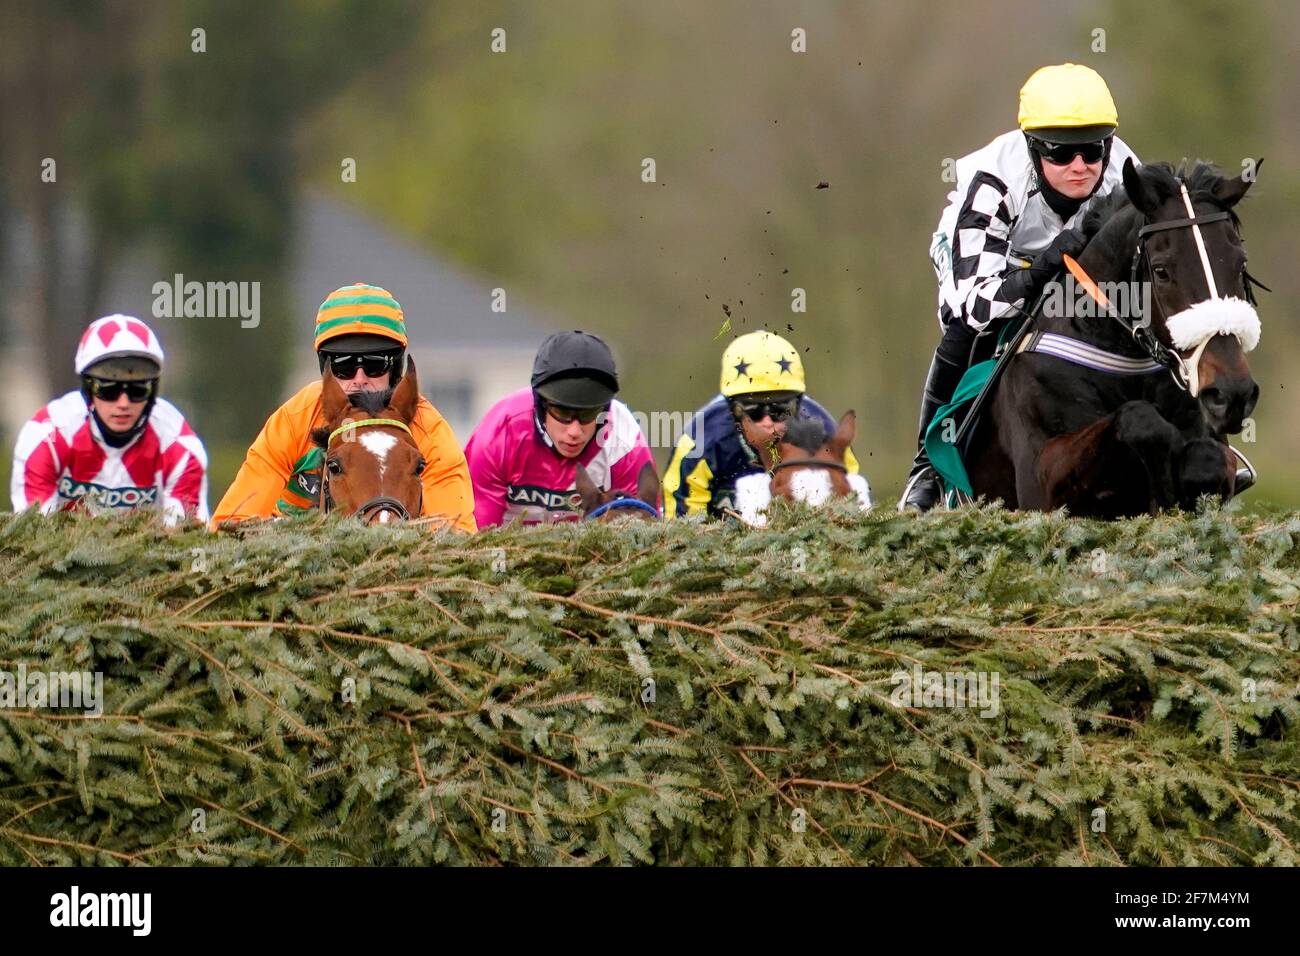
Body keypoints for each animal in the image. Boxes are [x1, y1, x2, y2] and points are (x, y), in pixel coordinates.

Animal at [967, 158, 1258, 515]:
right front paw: (1164, 479)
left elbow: (1207, 460)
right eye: (1161, 271)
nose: (1231, 394)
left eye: (1240, 264)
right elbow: (1141, 418)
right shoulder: (1040, 480)